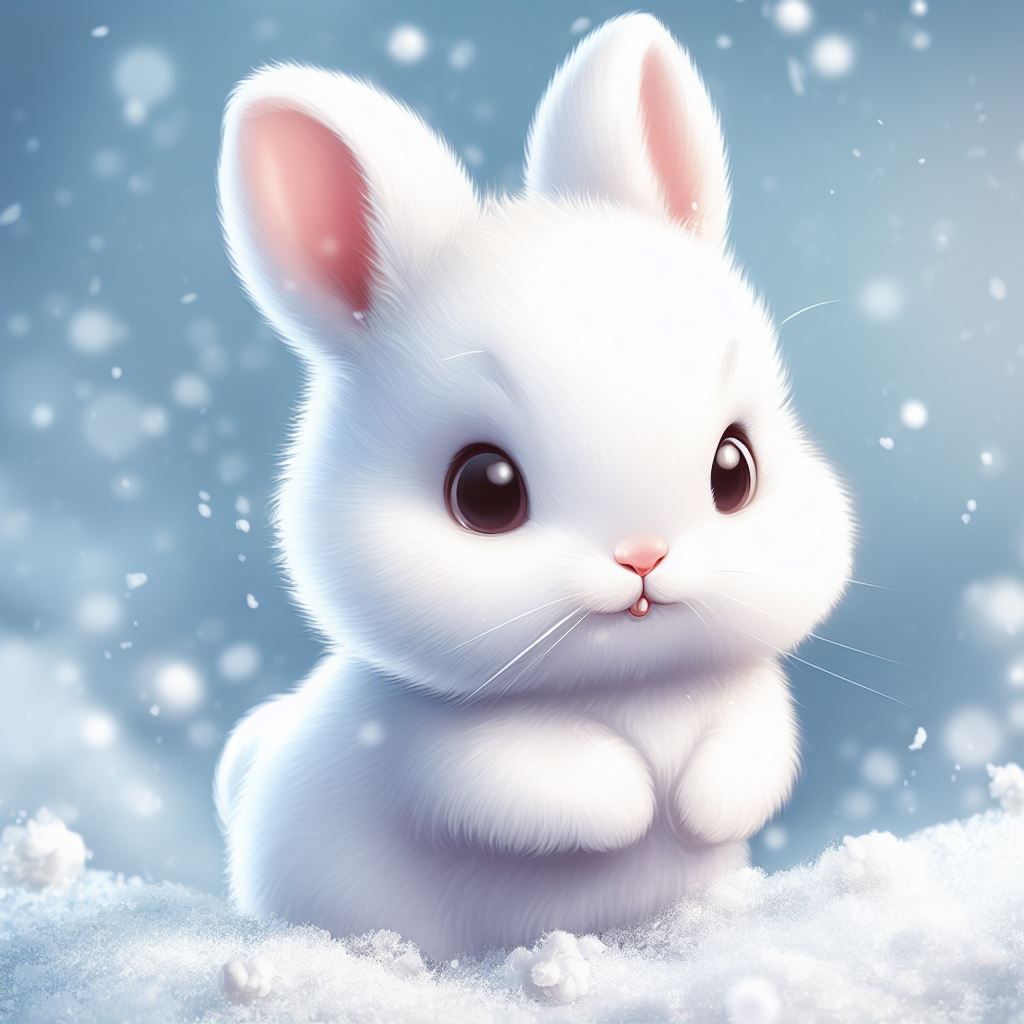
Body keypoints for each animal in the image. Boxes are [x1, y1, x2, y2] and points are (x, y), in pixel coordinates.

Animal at [215, 12, 854, 960]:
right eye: (485, 493)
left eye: (734, 469)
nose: (643, 558)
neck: (629, 693)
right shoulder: (435, 748)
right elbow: (526, 780)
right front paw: (634, 804)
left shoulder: (748, 699)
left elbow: (754, 749)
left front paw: (697, 807)